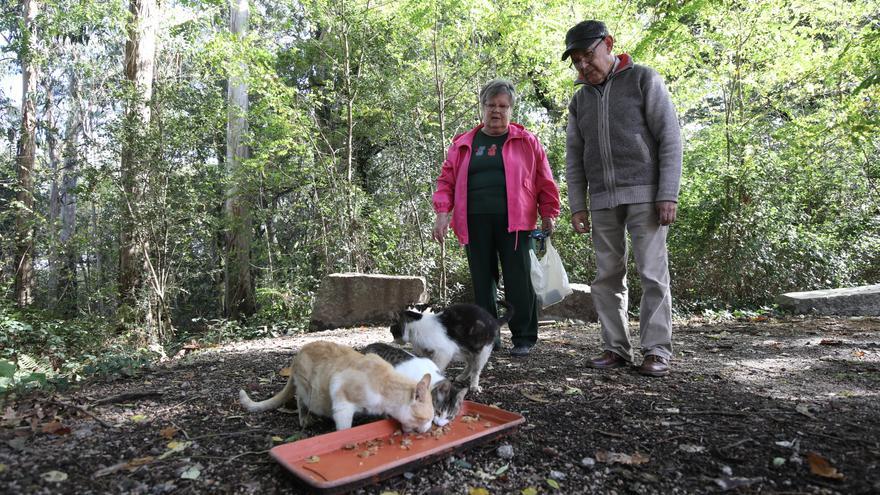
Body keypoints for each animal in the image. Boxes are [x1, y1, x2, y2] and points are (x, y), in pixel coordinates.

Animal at [239, 340, 434, 434]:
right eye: (428, 419)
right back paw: (305, 419)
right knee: (301, 401)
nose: (429, 428)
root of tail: (297, 355)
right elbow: (344, 426)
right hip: (308, 390)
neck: (385, 384)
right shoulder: (341, 396)